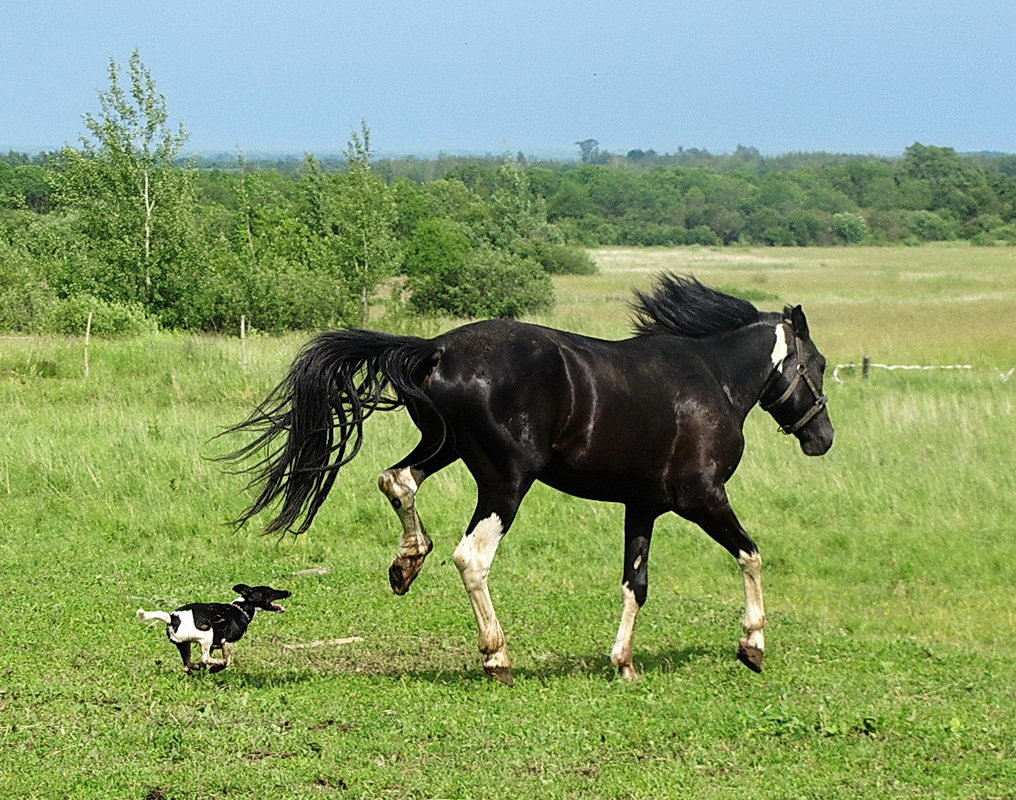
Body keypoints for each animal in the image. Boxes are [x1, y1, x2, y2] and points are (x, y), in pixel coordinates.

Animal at [133, 585, 288, 670]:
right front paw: (217, 667)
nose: (288, 592)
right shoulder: (227, 643)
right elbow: (227, 661)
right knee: (205, 658)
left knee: (188, 664)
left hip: (184, 644)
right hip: (206, 635)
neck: (240, 609)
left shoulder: (215, 645)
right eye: (270, 592)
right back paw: (215, 663)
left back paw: (195, 668)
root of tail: (172, 618)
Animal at [228, 274, 833, 683]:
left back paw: (406, 564)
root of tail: (435, 349)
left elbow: (635, 583)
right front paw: (752, 646)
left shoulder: (643, 506)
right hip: (505, 482)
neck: (713, 381)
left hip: (443, 447)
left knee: (396, 480)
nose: (822, 438)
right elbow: (751, 555)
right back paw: (497, 656)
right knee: (471, 557)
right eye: (819, 365)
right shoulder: (702, 497)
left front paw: (625, 664)